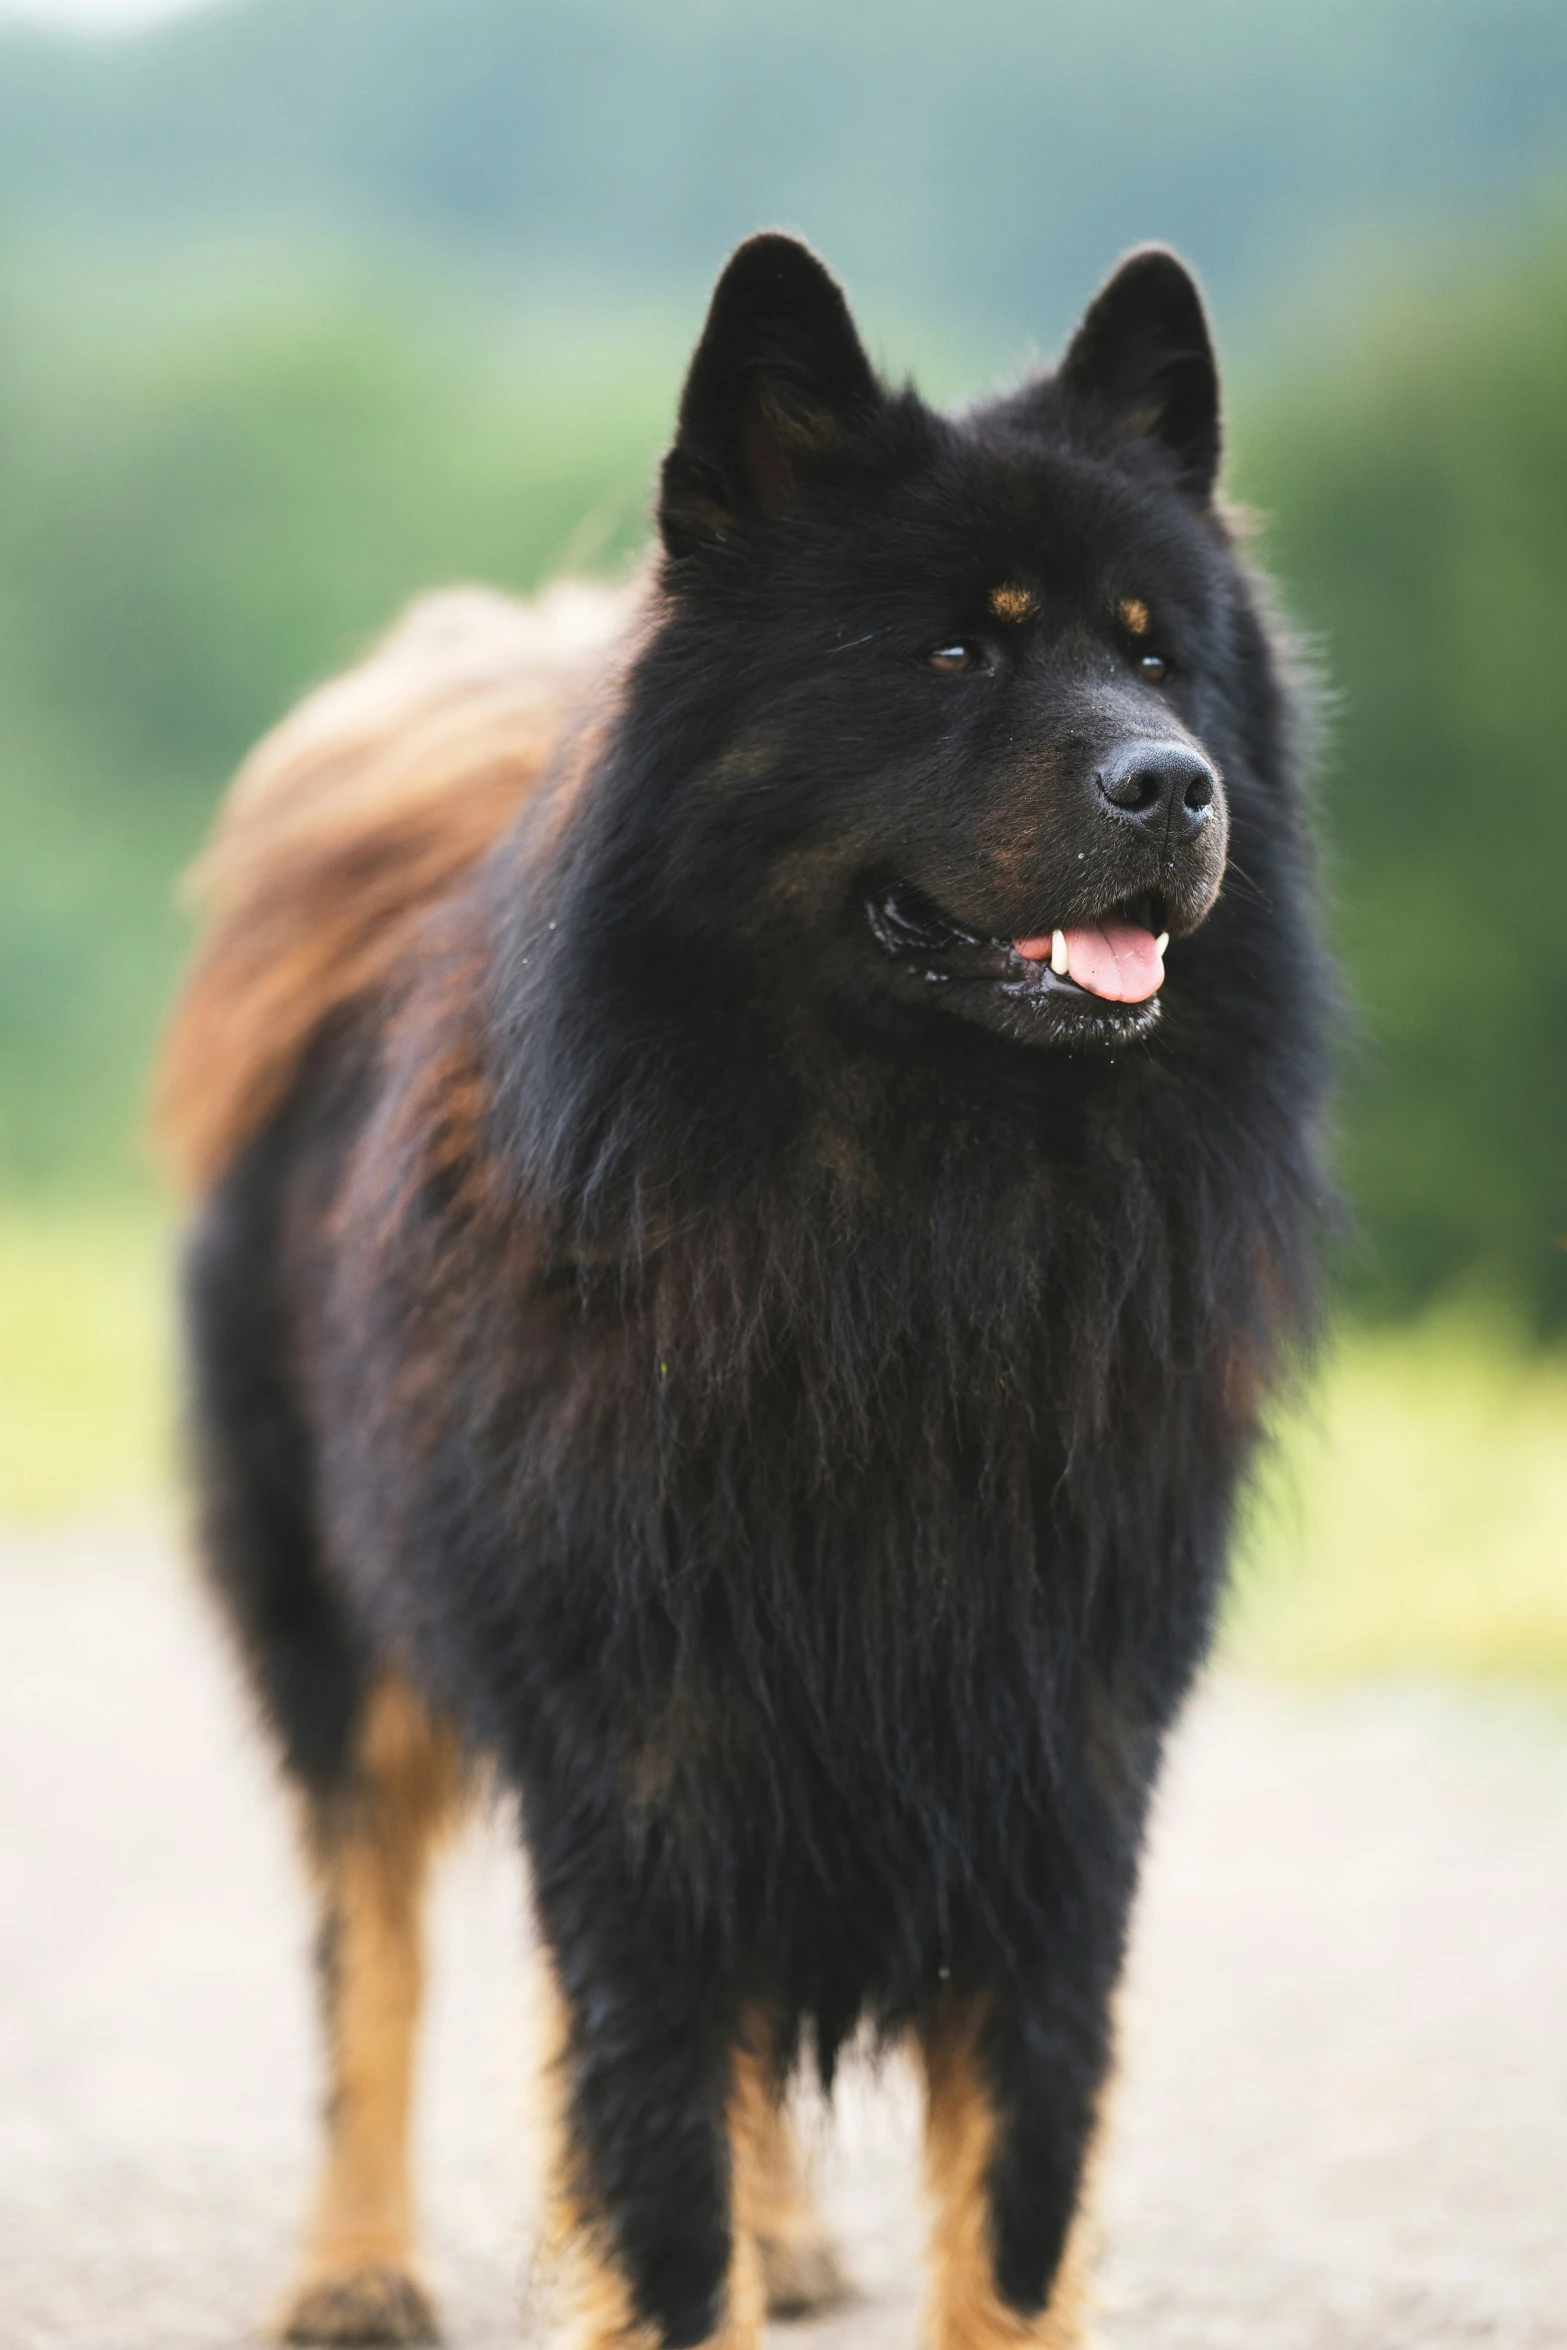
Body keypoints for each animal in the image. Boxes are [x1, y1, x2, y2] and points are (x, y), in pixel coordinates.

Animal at [159, 238, 1334, 2350]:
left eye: (1156, 655)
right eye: (953, 655)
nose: (1176, 787)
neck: (917, 1228)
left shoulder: (1047, 1787)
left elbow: (1010, 2223)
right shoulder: (643, 1779)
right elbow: (651, 2185)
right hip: (344, 1641)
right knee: (367, 1956)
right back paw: (355, 2265)